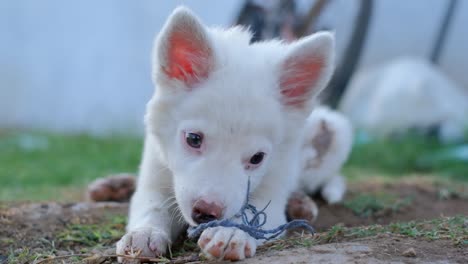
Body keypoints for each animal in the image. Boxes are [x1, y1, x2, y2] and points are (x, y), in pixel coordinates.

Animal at [117, 6, 336, 262]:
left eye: (257, 158)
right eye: (193, 139)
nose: (206, 213)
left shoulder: (273, 187)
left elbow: (257, 214)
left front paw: (233, 232)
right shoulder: (154, 174)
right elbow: (152, 206)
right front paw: (144, 233)